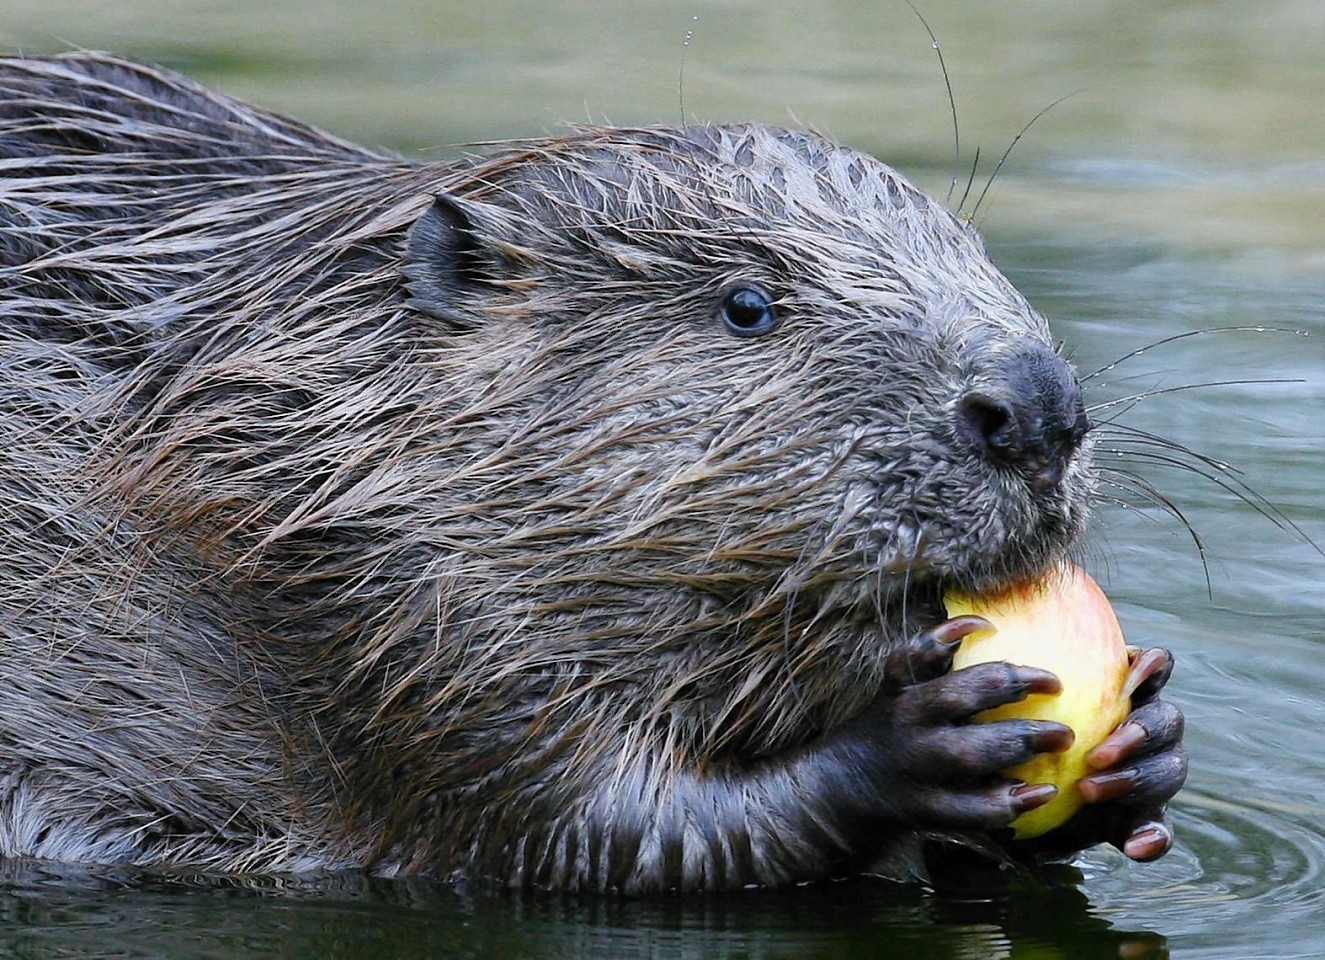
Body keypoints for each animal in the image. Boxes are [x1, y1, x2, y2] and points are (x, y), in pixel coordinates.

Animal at [0, 52, 1187, 889]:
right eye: (746, 304)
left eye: (975, 255)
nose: (1035, 409)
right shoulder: (388, 609)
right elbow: (600, 831)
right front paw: (917, 742)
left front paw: (1143, 740)